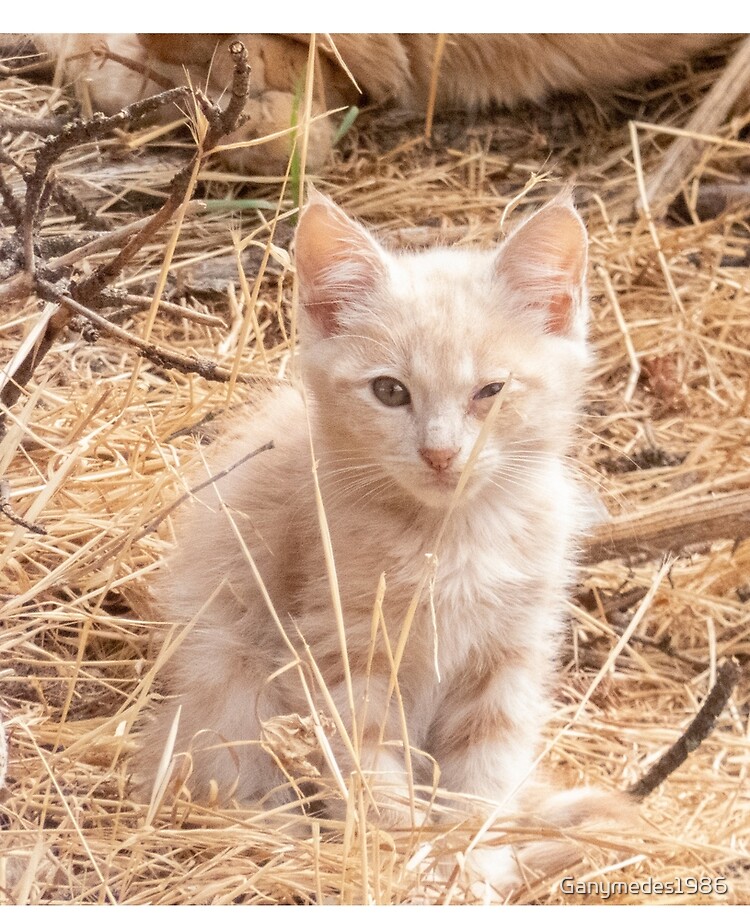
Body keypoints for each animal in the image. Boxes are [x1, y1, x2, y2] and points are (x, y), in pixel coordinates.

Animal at [140, 190, 616, 888]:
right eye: (390, 391)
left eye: (491, 392)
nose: (441, 454)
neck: (452, 537)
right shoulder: (341, 645)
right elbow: (370, 765)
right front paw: (400, 865)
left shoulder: (509, 653)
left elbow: (486, 770)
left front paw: (474, 864)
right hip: (232, 676)